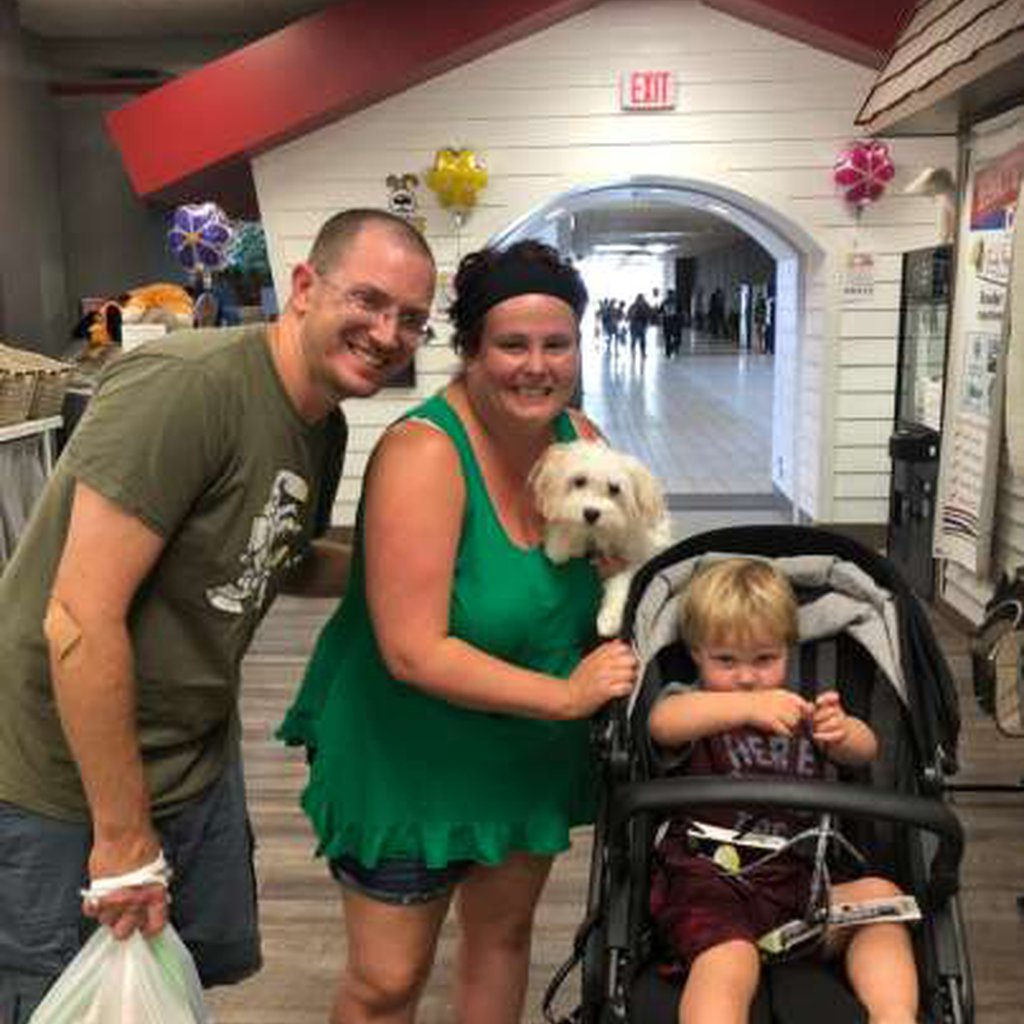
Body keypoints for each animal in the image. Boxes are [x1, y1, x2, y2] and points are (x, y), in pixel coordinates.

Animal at [528, 442, 671, 638]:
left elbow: (623, 581)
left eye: (614, 488)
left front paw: (609, 617)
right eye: (579, 481)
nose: (591, 513)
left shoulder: (639, 558)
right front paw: (559, 544)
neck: (601, 532)